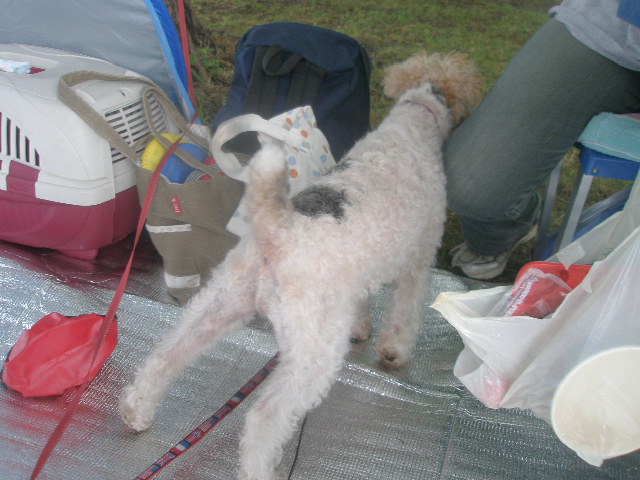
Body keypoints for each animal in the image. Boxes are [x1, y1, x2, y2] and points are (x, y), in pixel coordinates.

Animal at [120, 51, 483, 480]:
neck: (412, 123)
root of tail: (279, 229)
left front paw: (360, 330)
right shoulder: (420, 259)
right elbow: (404, 314)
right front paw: (394, 352)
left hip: (220, 303)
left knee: (164, 356)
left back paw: (136, 411)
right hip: (313, 352)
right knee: (264, 417)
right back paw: (260, 468)